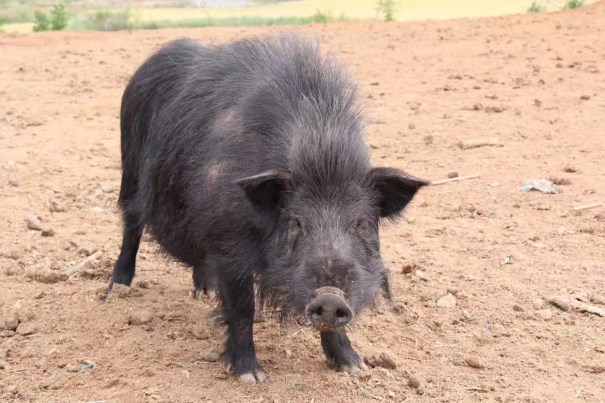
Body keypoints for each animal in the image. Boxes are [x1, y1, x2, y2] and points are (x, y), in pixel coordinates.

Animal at [111, 34, 428, 386]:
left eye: (360, 223)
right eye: (297, 222)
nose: (330, 297)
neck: (320, 152)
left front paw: (354, 366)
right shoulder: (229, 239)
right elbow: (242, 308)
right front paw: (251, 376)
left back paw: (204, 293)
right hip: (130, 166)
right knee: (131, 222)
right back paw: (117, 289)